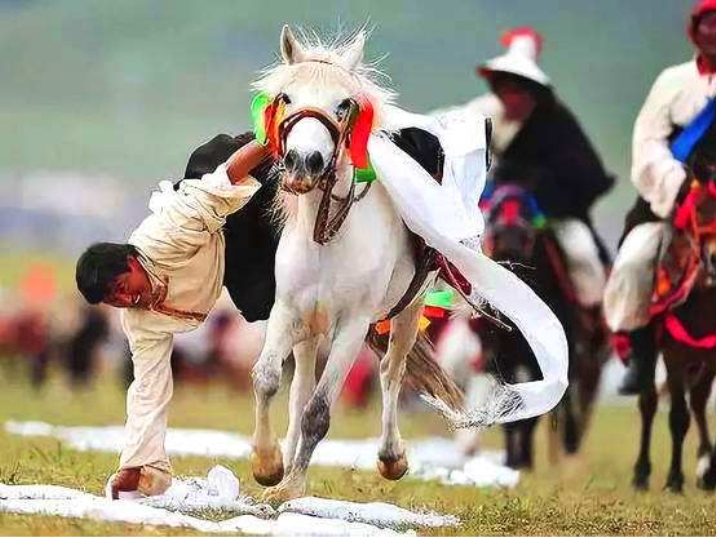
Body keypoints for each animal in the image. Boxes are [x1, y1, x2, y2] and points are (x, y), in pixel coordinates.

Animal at [248, 26, 463, 502]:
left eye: (343, 104)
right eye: (286, 97)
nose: (303, 162)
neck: (328, 233)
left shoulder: (352, 327)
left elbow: (319, 411)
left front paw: (291, 488)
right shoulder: (287, 312)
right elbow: (268, 379)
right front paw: (269, 467)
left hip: (409, 310)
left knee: (391, 372)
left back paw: (390, 457)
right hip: (310, 330)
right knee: (298, 387)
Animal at [478, 182, 609, 468]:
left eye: (529, 213)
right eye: (495, 212)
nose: (510, 240)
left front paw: (525, 459)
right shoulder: (503, 357)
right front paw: (512, 459)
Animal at [632, 174, 716, 492]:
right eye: (699, 210)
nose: (715, 258)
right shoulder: (673, 353)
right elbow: (678, 416)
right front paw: (674, 479)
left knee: (699, 401)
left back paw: (707, 469)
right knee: (649, 402)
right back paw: (641, 473)